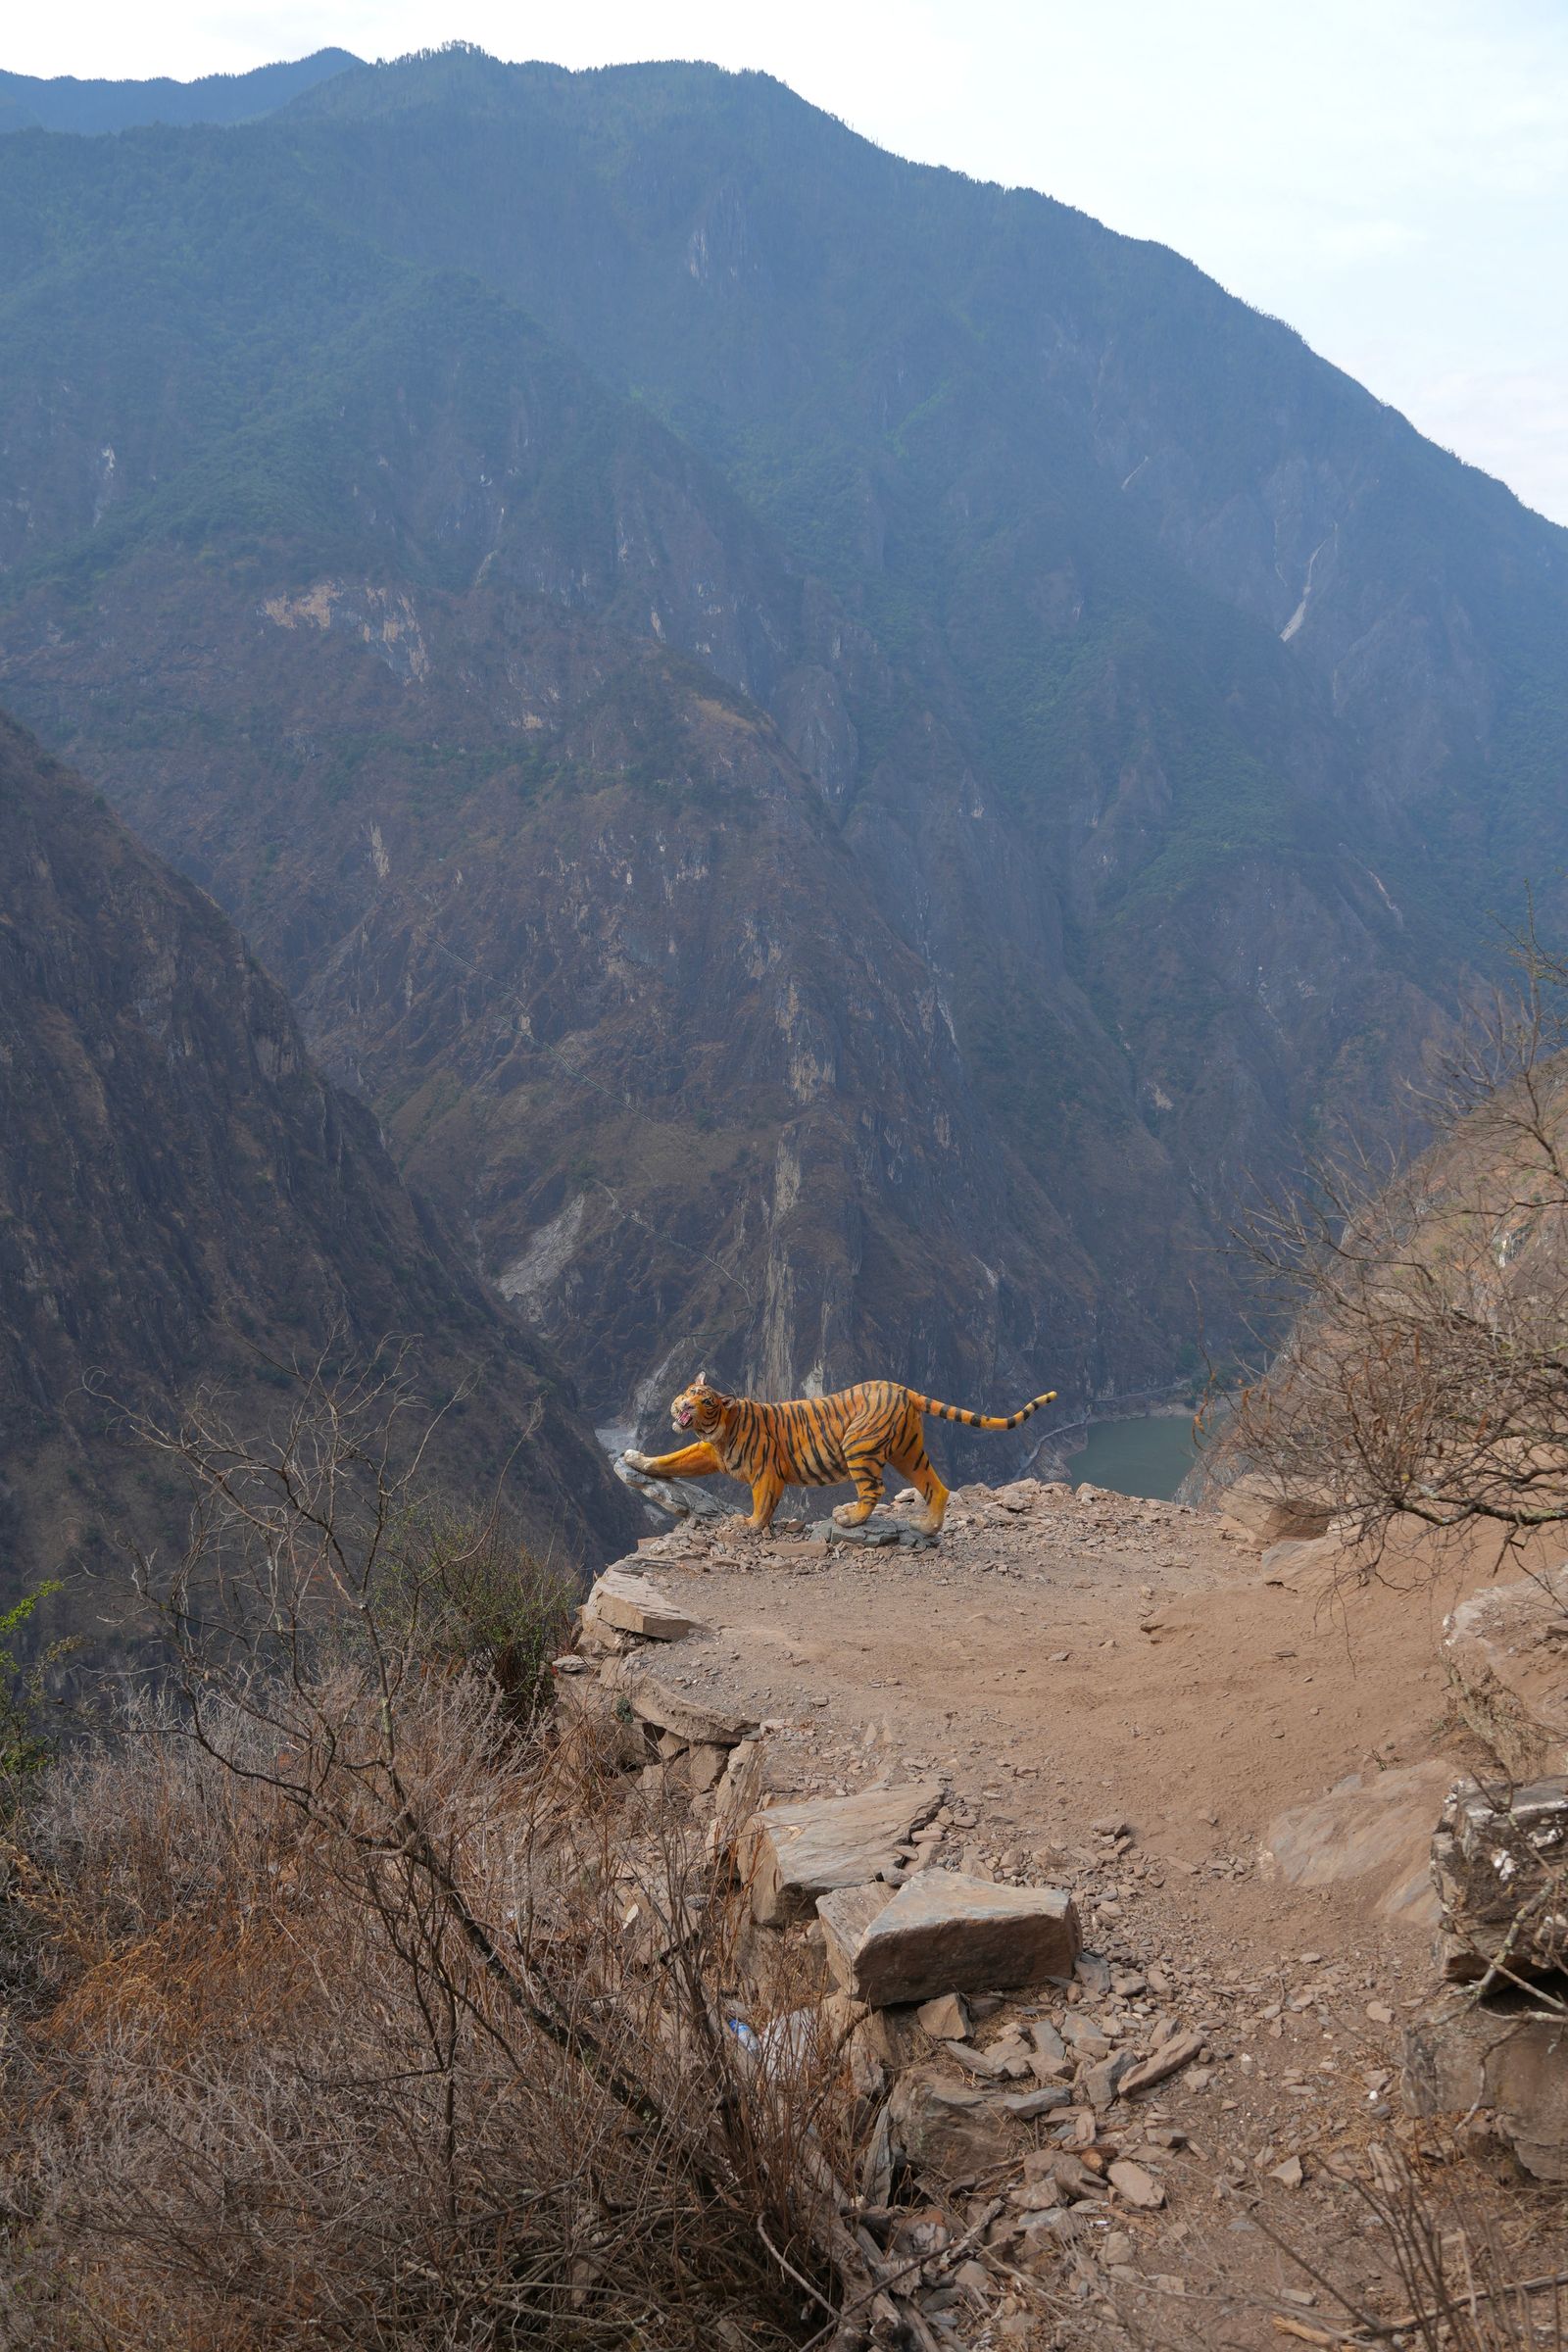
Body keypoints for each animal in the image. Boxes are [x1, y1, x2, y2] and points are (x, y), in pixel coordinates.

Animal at [623, 1371, 1059, 1536]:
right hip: (908, 1451)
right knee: (936, 1486)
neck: (716, 1430)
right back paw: (927, 1527)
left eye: (706, 1400)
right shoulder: (707, 1451)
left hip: (859, 1447)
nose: (684, 1406)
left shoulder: (765, 1473)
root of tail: (903, 1388)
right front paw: (636, 1460)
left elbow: (763, 1504)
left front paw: (748, 1524)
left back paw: (850, 1518)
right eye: (690, 1391)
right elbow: (672, 1460)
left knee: (873, 1489)